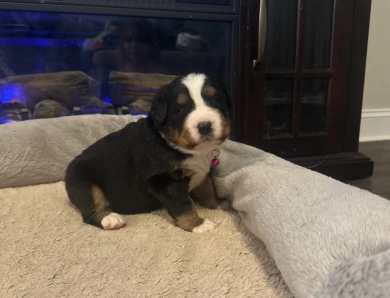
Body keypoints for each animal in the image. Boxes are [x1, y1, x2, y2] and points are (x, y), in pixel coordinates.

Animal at [65, 72, 232, 233]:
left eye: (216, 100)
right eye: (180, 110)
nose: (205, 126)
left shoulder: (204, 171)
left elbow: (208, 189)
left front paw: (217, 204)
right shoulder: (165, 179)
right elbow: (183, 205)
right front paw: (198, 224)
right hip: (84, 183)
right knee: (91, 211)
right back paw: (110, 219)